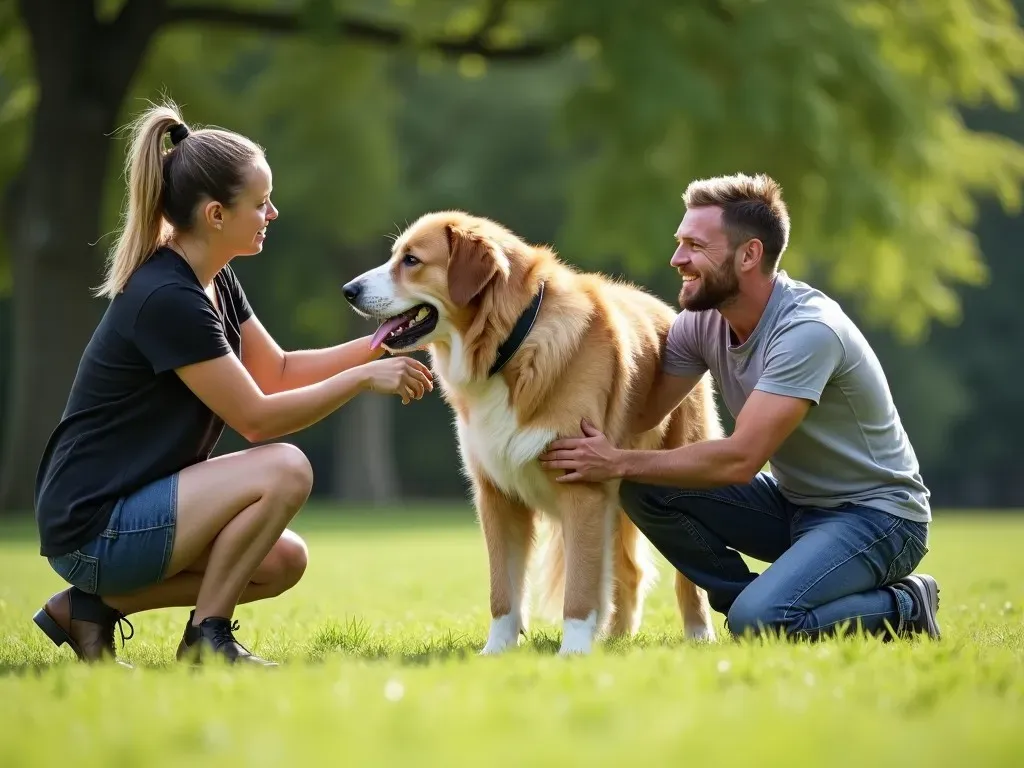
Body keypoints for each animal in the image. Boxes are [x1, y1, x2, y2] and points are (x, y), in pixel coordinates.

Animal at [342, 211, 720, 655]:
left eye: (412, 260)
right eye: (395, 256)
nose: (348, 291)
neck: (508, 346)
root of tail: (667, 310)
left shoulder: (582, 486)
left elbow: (579, 589)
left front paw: (574, 652)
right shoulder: (496, 494)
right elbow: (502, 592)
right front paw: (495, 651)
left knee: (685, 580)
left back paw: (698, 634)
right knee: (627, 572)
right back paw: (615, 639)